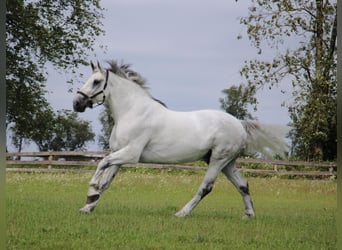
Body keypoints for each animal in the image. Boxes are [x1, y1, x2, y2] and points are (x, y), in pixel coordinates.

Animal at [73, 61, 288, 219]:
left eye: (96, 81)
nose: (77, 103)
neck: (132, 111)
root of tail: (240, 125)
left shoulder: (130, 154)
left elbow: (101, 163)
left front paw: (91, 192)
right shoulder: (119, 156)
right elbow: (106, 182)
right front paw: (88, 207)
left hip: (218, 160)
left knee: (206, 187)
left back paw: (181, 213)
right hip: (227, 163)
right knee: (243, 184)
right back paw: (249, 215)